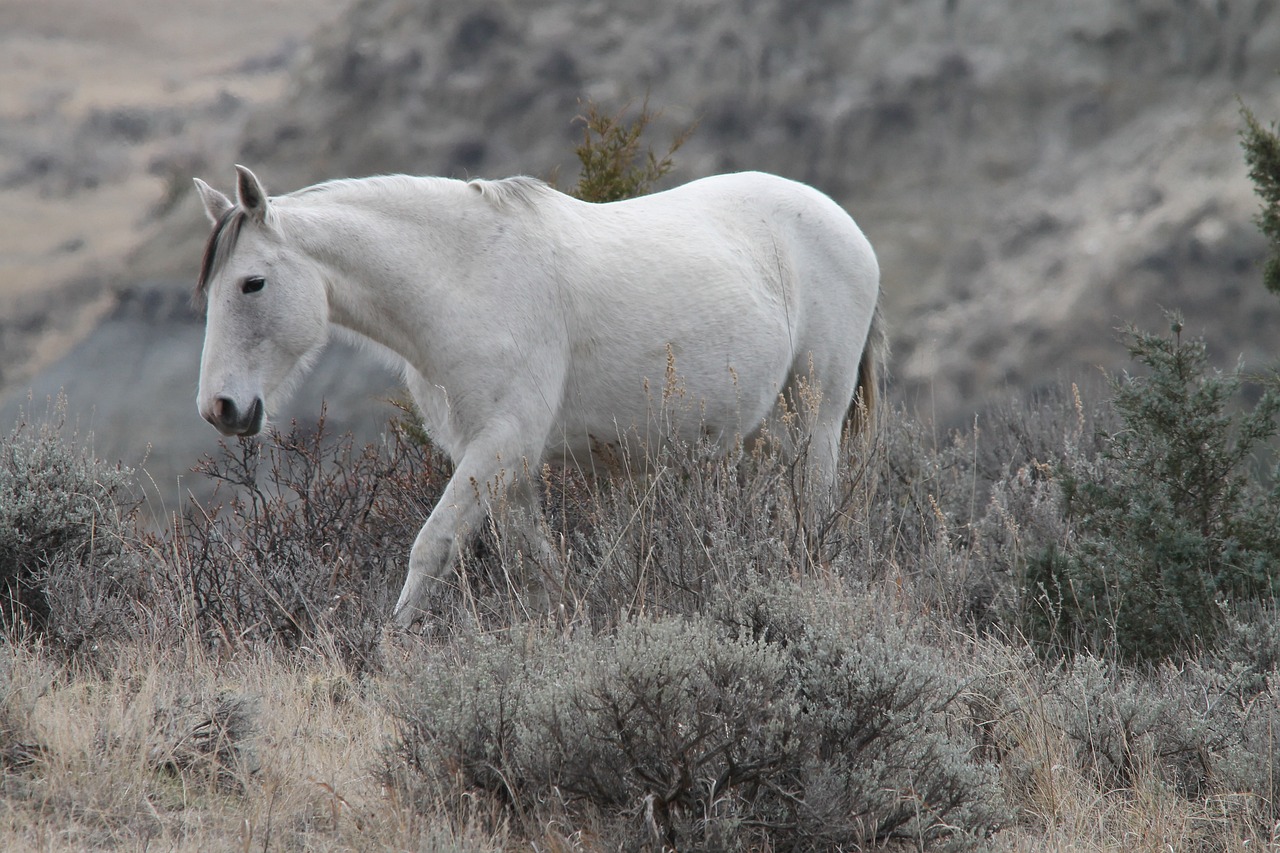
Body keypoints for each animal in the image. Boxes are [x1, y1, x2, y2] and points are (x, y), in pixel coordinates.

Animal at [194, 163, 885, 625]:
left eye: (252, 283)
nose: (220, 409)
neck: (466, 278)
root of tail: (844, 224)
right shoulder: (501, 463)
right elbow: (539, 571)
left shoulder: (501, 446)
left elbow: (430, 548)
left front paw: (390, 653)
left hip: (816, 417)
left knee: (814, 509)